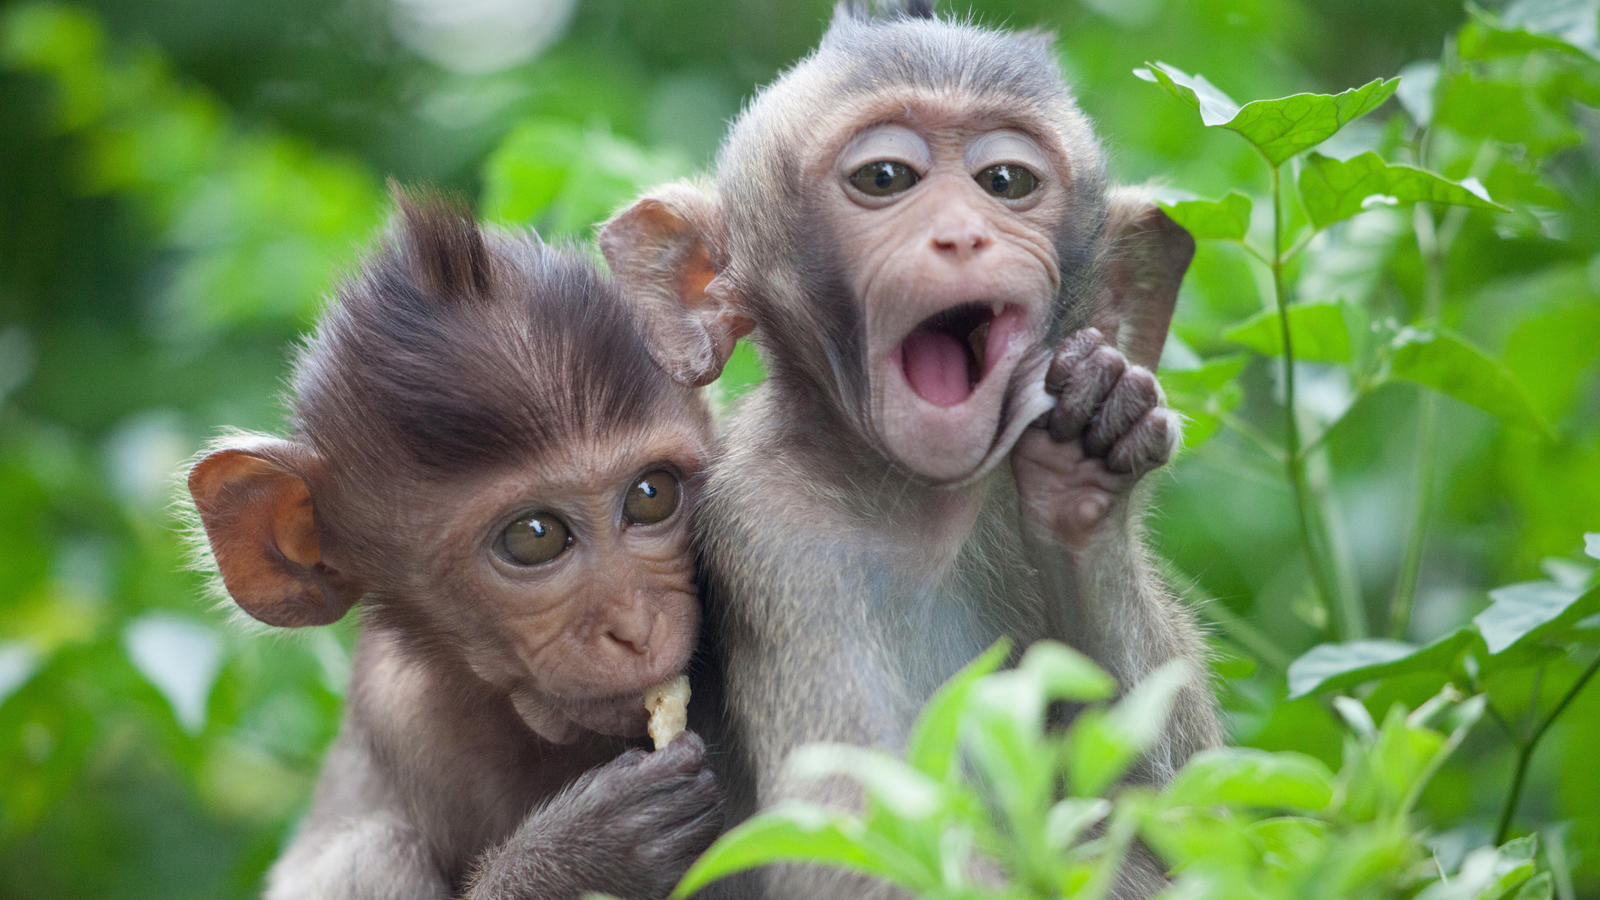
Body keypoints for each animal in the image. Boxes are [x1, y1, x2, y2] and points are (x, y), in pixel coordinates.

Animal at [599, 4, 1222, 897]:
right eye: (887, 178)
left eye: (1006, 183)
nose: (961, 235)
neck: (923, 505)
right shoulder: (774, 532)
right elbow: (857, 841)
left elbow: (1200, 817)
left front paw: (1089, 464)